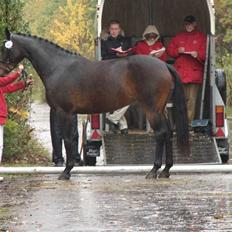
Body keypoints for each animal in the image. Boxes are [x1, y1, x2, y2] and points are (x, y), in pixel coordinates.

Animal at [0, 29, 188, 179]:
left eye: (5, 47)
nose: (2, 71)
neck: (58, 67)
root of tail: (163, 65)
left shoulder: (63, 112)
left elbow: (67, 139)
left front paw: (66, 172)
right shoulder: (70, 113)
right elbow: (72, 139)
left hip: (152, 109)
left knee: (161, 134)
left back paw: (154, 170)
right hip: (161, 109)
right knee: (168, 133)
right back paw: (166, 170)